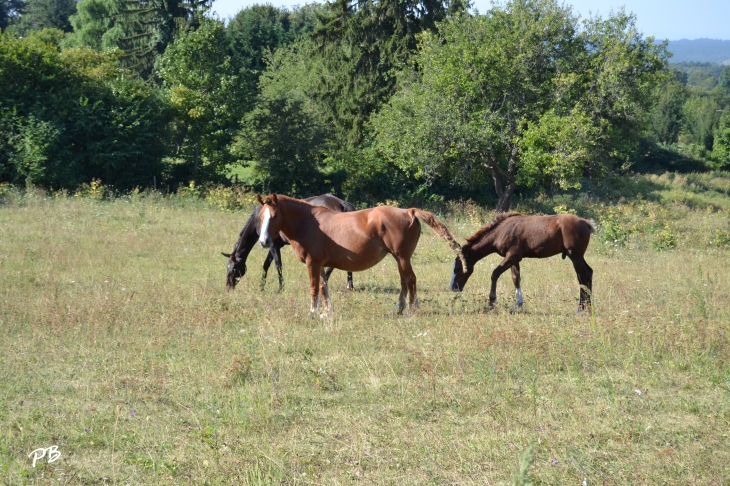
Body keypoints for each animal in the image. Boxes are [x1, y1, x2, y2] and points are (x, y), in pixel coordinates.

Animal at [253, 194, 464, 316]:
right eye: (261, 216)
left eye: (274, 216)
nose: (264, 241)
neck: (308, 223)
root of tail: (409, 211)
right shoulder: (320, 264)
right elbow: (323, 287)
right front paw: (327, 312)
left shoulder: (312, 263)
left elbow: (314, 288)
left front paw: (313, 312)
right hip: (400, 259)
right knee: (404, 281)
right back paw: (399, 309)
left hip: (402, 257)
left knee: (410, 279)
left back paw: (411, 310)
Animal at [446, 213, 596, 312]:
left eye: (457, 268)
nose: (453, 287)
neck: (502, 230)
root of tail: (585, 222)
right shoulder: (514, 259)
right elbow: (516, 278)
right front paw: (517, 305)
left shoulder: (512, 256)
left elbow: (495, 274)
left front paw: (492, 302)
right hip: (577, 256)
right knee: (588, 272)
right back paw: (588, 307)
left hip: (575, 256)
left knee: (582, 277)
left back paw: (581, 309)